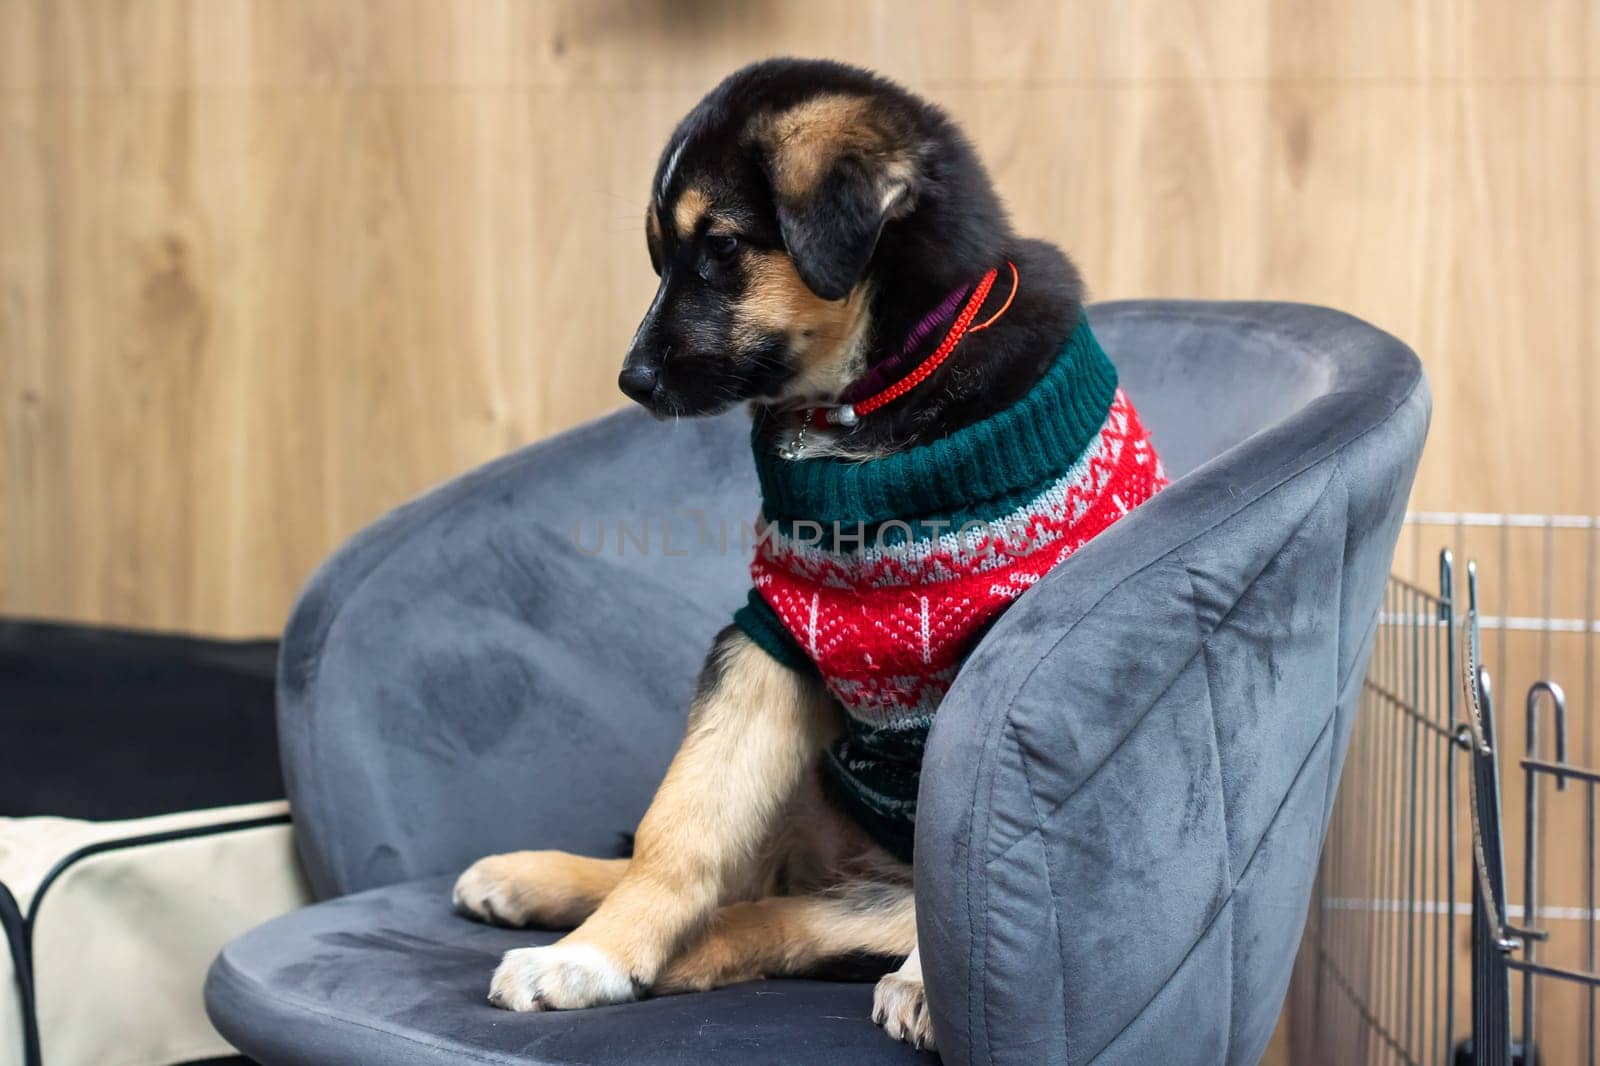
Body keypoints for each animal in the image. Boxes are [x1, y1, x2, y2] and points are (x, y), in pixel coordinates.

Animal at [457, 58, 1171, 1043]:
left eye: (721, 247)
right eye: (660, 257)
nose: (632, 380)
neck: (869, 404)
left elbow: (966, 845)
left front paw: (932, 986)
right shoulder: (769, 640)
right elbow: (679, 825)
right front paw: (592, 957)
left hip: (865, 881)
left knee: (798, 917)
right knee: (727, 872)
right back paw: (542, 888)